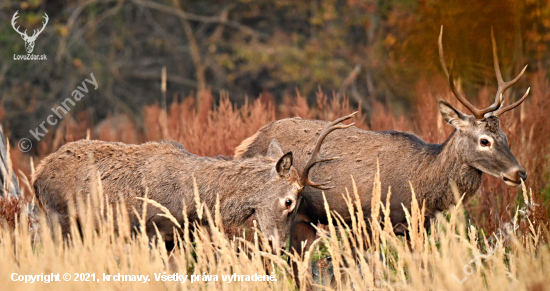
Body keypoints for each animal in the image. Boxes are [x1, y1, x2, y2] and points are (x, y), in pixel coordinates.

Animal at [31, 113, 358, 250]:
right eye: (289, 201)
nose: (279, 243)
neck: (194, 201)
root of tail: (36, 177)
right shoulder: (152, 230)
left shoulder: (179, 235)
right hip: (60, 220)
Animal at [235, 28, 532, 286]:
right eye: (484, 140)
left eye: (506, 137)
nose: (519, 173)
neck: (421, 185)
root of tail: (246, 145)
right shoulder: (367, 220)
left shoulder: (417, 228)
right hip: (269, 213)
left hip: (302, 220)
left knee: (296, 265)